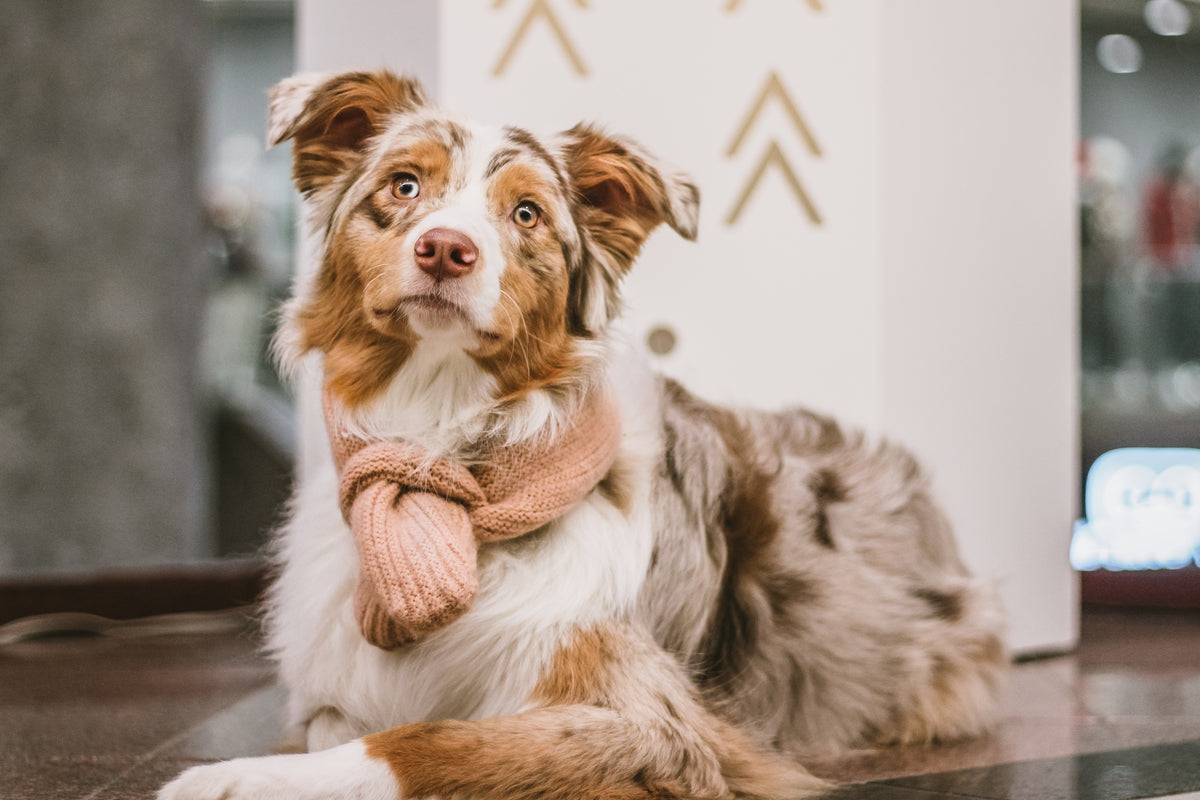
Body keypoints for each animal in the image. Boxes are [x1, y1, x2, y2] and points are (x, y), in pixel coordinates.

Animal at [157, 70, 1003, 800]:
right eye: (404, 186)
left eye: (526, 213)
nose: (445, 249)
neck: (443, 445)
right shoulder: (339, 684)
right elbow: (343, 725)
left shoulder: (656, 726)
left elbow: (428, 739)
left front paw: (238, 778)